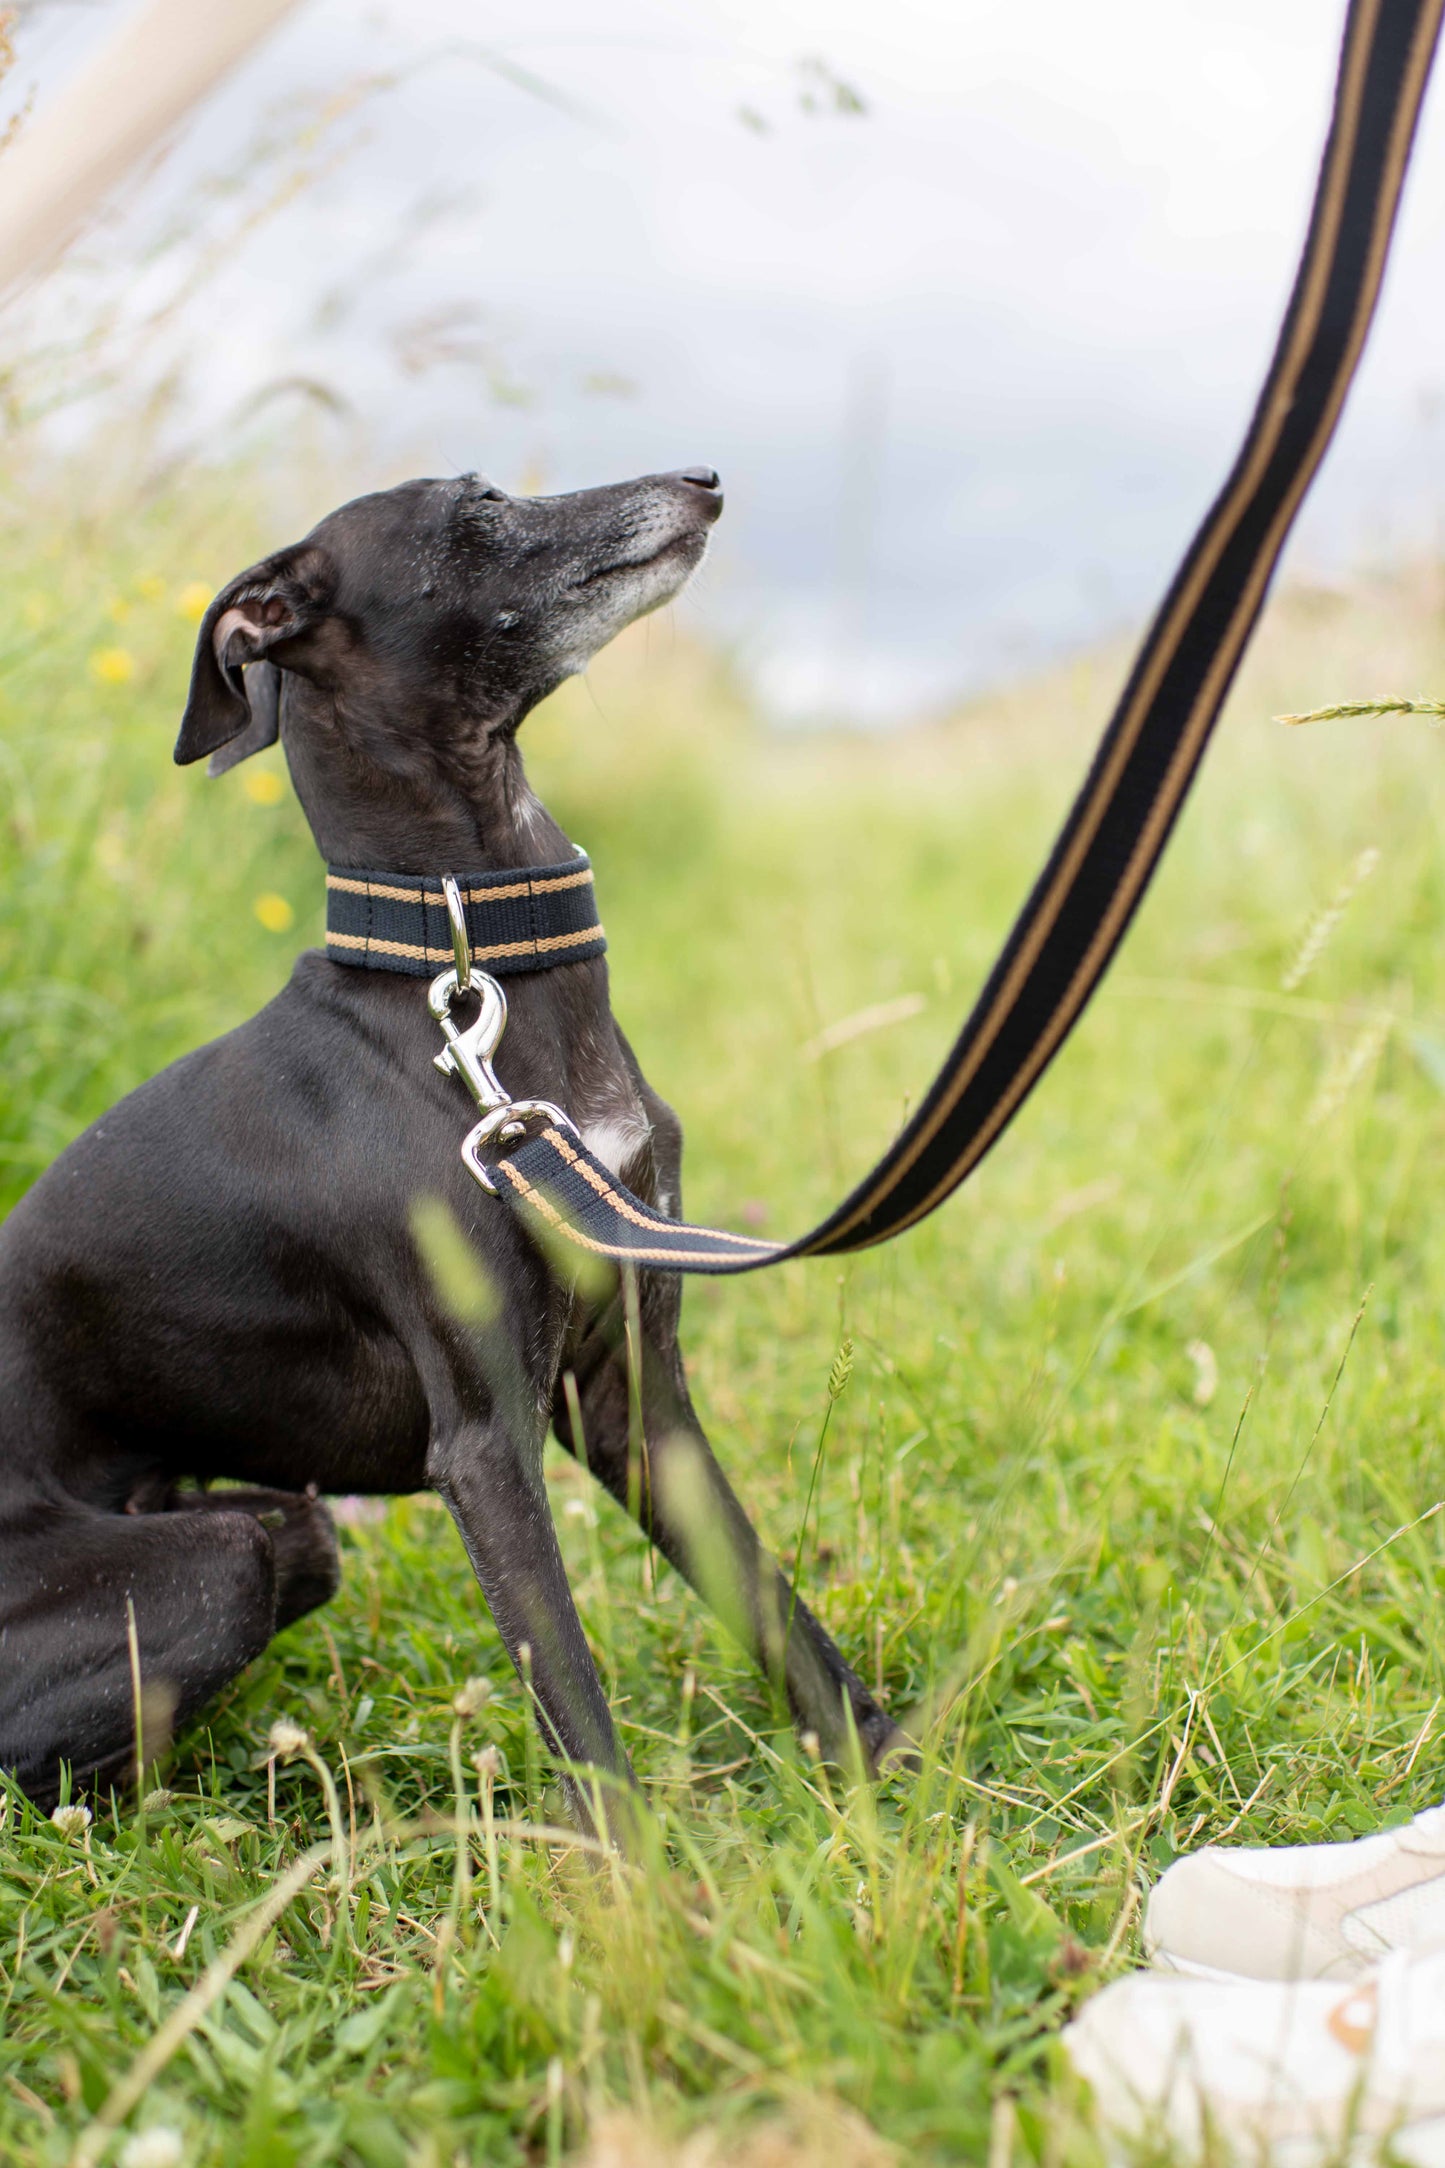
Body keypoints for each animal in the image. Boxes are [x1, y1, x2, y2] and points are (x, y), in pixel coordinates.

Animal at [0, 470, 909, 1829]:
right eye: (476, 509)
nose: (700, 481)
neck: (469, 975)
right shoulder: (485, 1440)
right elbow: (574, 1696)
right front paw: (643, 1879)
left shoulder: (637, 1397)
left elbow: (772, 1604)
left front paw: (895, 1781)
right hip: (208, 1563)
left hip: (285, 1526)